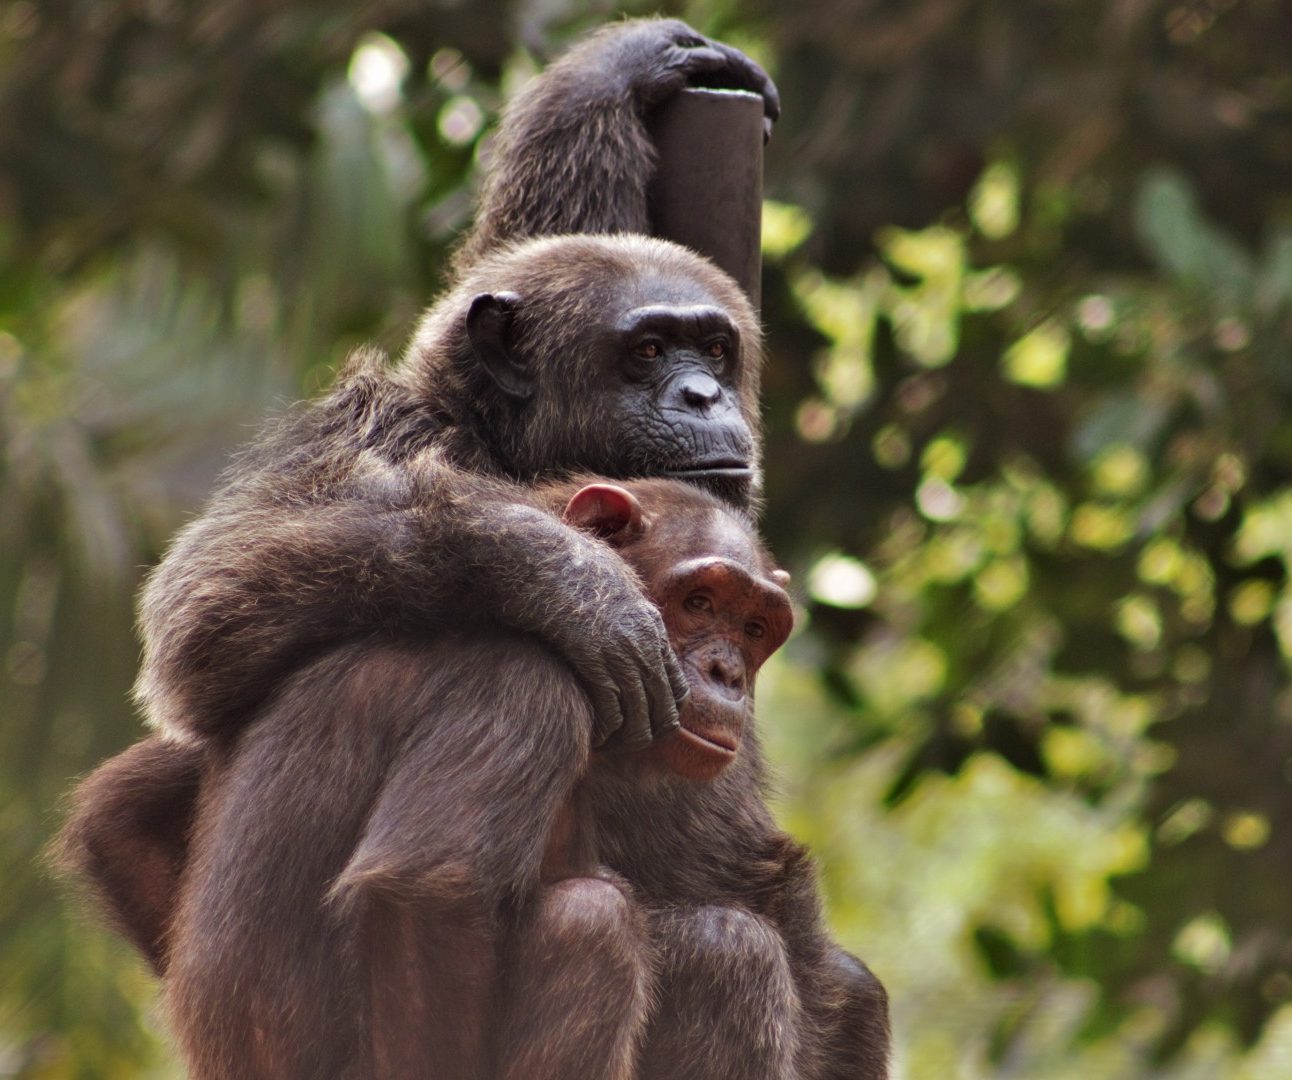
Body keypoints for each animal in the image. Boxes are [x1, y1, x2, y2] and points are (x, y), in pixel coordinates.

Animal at [60, 480, 888, 1080]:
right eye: (700, 601)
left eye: (754, 627)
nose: (727, 673)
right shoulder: (525, 684)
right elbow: (427, 892)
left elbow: (126, 812)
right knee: (637, 933)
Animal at [133, 18, 775, 759]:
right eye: (649, 351)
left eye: (715, 350)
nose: (702, 394)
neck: (491, 436)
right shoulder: (368, 431)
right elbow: (211, 590)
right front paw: (572, 581)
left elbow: (544, 219)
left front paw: (629, 61)